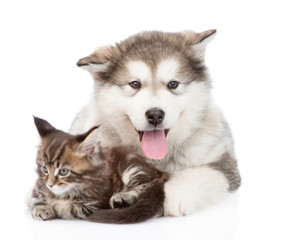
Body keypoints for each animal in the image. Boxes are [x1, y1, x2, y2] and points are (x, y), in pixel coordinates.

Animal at [28, 117, 169, 224]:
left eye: (63, 171)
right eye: (44, 169)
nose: (50, 185)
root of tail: (159, 171)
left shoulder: (95, 205)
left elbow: (67, 208)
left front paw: (54, 206)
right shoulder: (38, 187)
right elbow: (34, 199)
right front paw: (41, 208)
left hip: (133, 169)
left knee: (145, 188)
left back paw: (122, 197)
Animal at [71, 29, 242, 216]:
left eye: (173, 84)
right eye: (135, 84)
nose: (155, 115)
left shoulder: (225, 163)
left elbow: (200, 174)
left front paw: (175, 196)